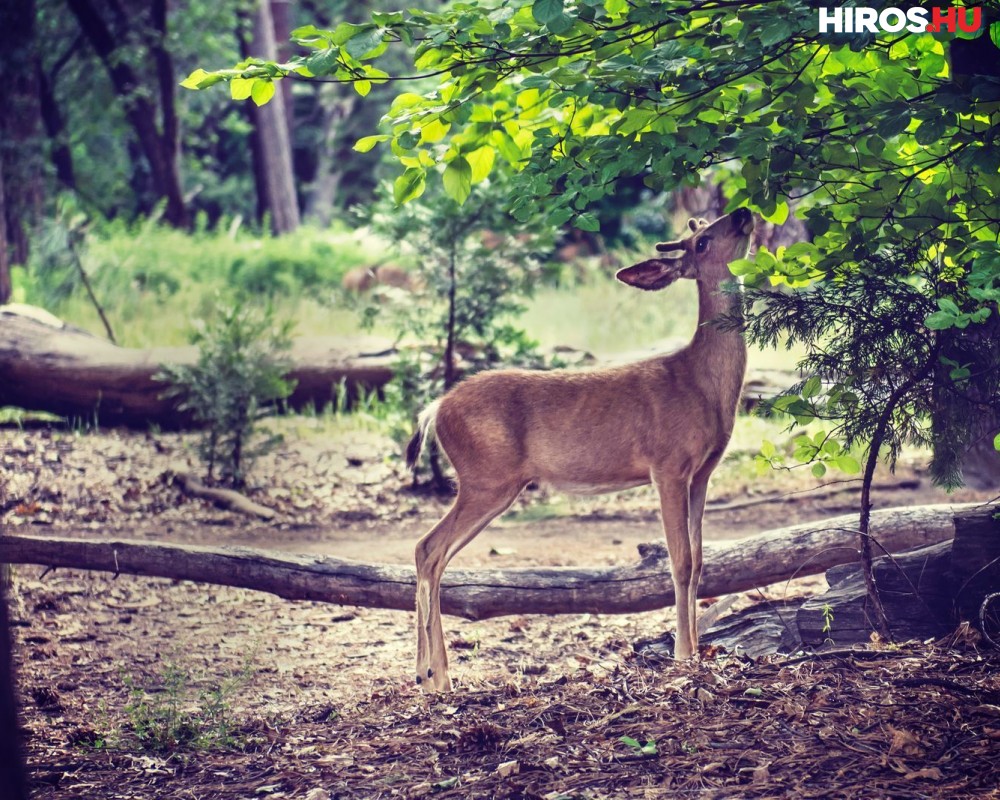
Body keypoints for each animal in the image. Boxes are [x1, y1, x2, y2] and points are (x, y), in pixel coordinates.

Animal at [402, 205, 752, 688]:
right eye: (701, 241)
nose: (743, 213)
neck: (701, 385)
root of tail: (436, 408)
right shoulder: (667, 466)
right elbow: (679, 562)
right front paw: (684, 656)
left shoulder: (703, 473)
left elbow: (700, 563)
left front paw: (698, 651)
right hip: (486, 478)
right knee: (428, 549)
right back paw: (437, 676)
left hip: (489, 483)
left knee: (431, 553)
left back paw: (429, 674)